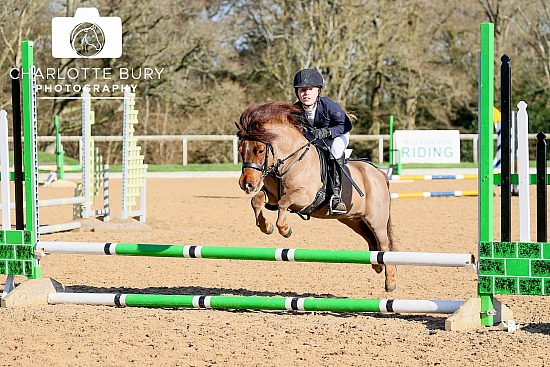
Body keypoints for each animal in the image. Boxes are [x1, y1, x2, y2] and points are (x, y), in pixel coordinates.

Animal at [235, 100, 398, 294]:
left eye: (260, 150)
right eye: (240, 150)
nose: (246, 184)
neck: (291, 161)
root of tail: (379, 174)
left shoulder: (304, 197)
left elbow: (284, 202)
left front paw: (285, 229)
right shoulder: (272, 196)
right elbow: (257, 200)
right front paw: (266, 226)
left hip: (376, 220)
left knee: (384, 245)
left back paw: (390, 281)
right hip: (354, 220)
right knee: (371, 239)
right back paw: (377, 265)